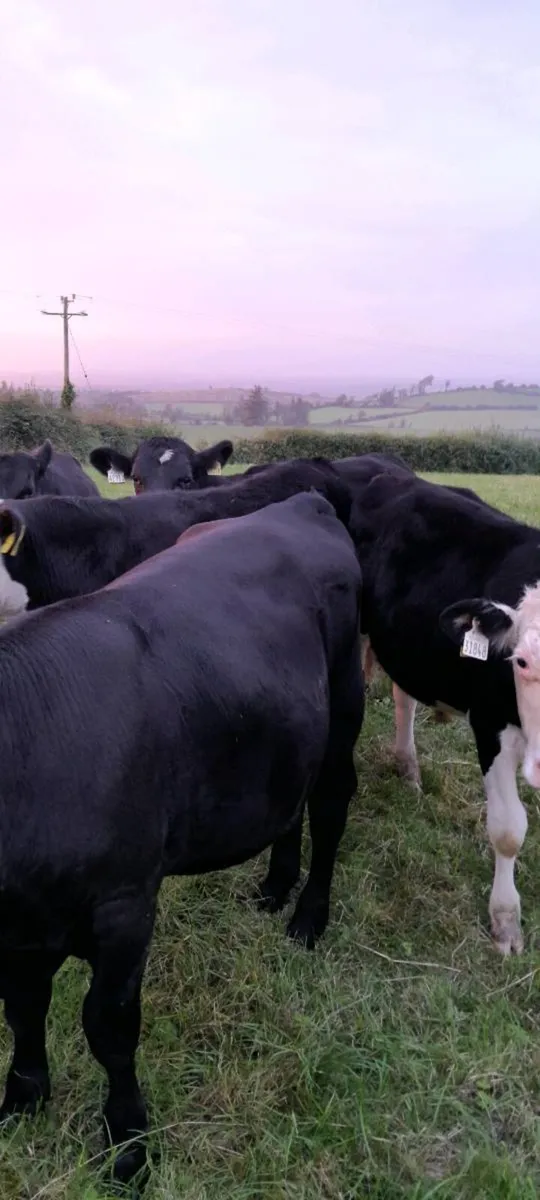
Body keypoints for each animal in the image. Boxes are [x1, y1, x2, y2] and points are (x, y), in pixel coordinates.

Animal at [0, 491, 363, 1185]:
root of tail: (299, 502)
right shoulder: (24, 928)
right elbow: (23, 1005)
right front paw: (22, 1099)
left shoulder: (125, 903)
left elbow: (109, 1026)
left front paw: (128, 1145)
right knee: (291, 805)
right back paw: (275, 885)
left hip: (344, 706)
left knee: (330, 808)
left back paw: (308, 916)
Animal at [349, 468, 540, 956]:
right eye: (522, 662)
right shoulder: (490, 726)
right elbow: (508, 829)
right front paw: (506, 922)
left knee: (405, 698)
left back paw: (409, 770)